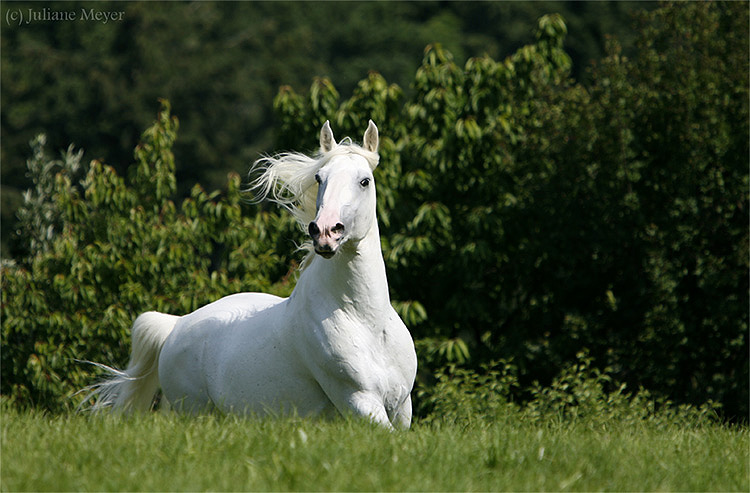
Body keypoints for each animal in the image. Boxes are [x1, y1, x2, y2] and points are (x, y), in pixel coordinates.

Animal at [89, 121, 420, 428]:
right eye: (319, 178)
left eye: (365, 181)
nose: (325, 232)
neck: (366, 323)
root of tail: (175, 326)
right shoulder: (359, 401)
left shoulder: (402, 408)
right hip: (196, 412)